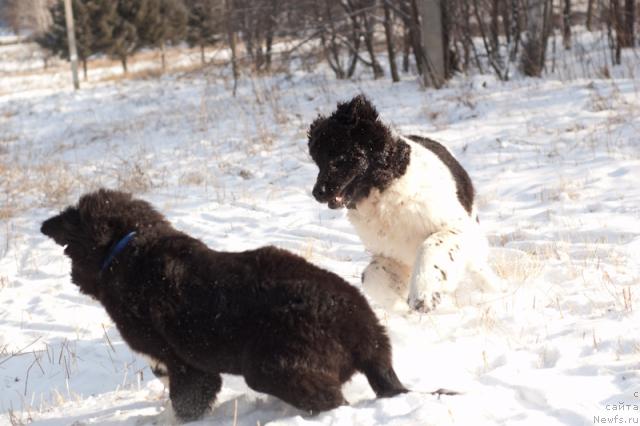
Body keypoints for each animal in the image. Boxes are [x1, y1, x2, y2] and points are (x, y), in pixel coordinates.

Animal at [41, 190, 410, 422]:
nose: (73, 277)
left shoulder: (185, 365)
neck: (127, 249)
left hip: (271, 364)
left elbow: (185, 402)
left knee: (331, 400)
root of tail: (365, 330)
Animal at [308, 95, 498, 312]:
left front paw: (423, 295)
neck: (384, 194)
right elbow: (371, 276)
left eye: (339, 156)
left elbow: (430, 246)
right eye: (318, 162)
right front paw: (399, 303)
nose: (317, 193)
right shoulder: (390, 252)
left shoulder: (454, 228)